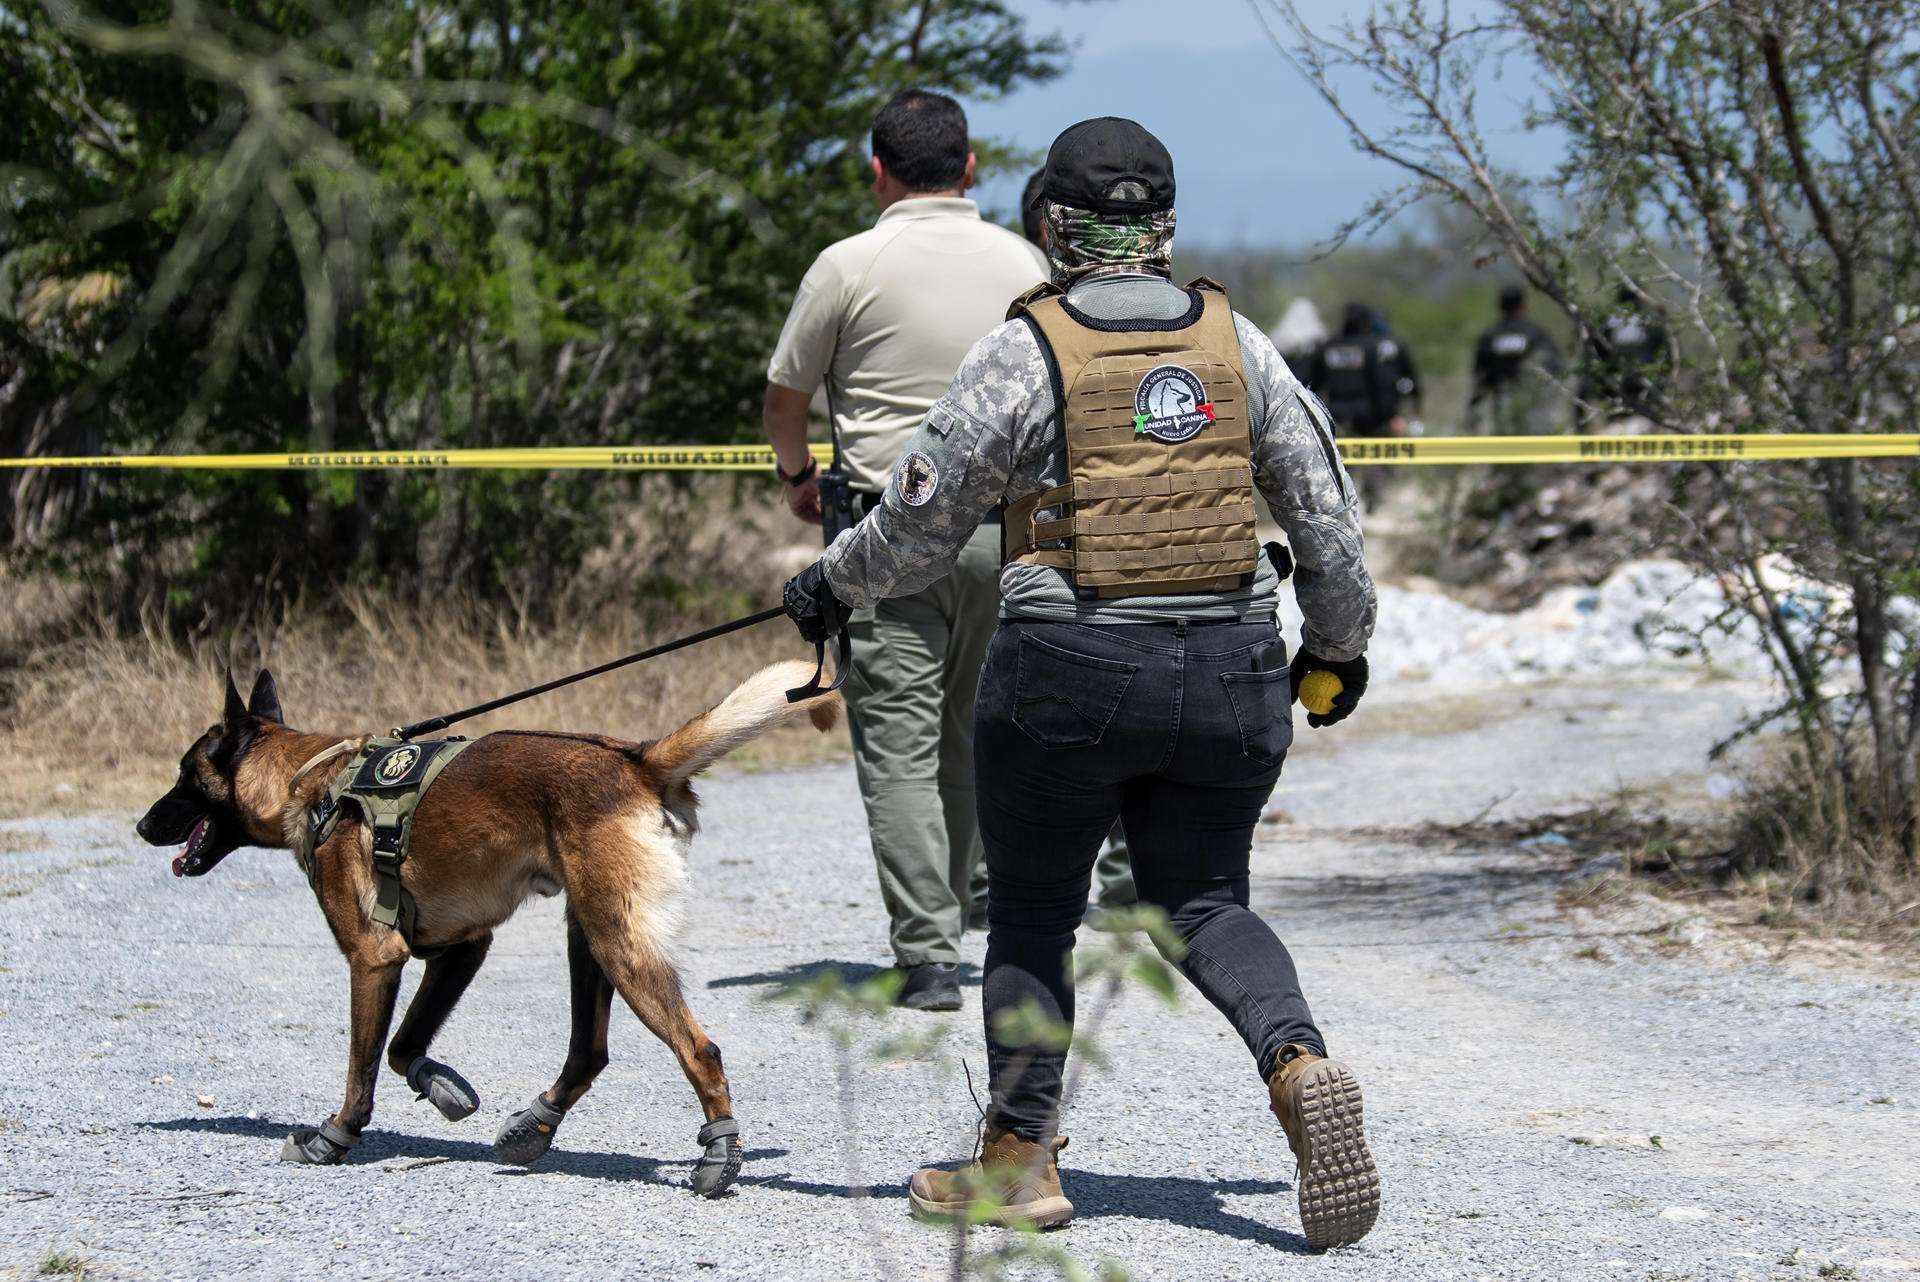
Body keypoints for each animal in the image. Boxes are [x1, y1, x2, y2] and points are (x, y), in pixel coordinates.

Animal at [139, 667, 844, 1197]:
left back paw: (718, 1155)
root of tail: (638, 762)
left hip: (618, 943)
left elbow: (364, 1066)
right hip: (588, 935)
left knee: (699, 1050)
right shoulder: (460, 948)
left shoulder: (374, 958)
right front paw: (440, 1085)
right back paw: (534, 1125)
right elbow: (404, 1047)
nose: (143, 826)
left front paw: (333, 1138)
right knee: (589, 1051)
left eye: (183, 774)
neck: (311, 780)